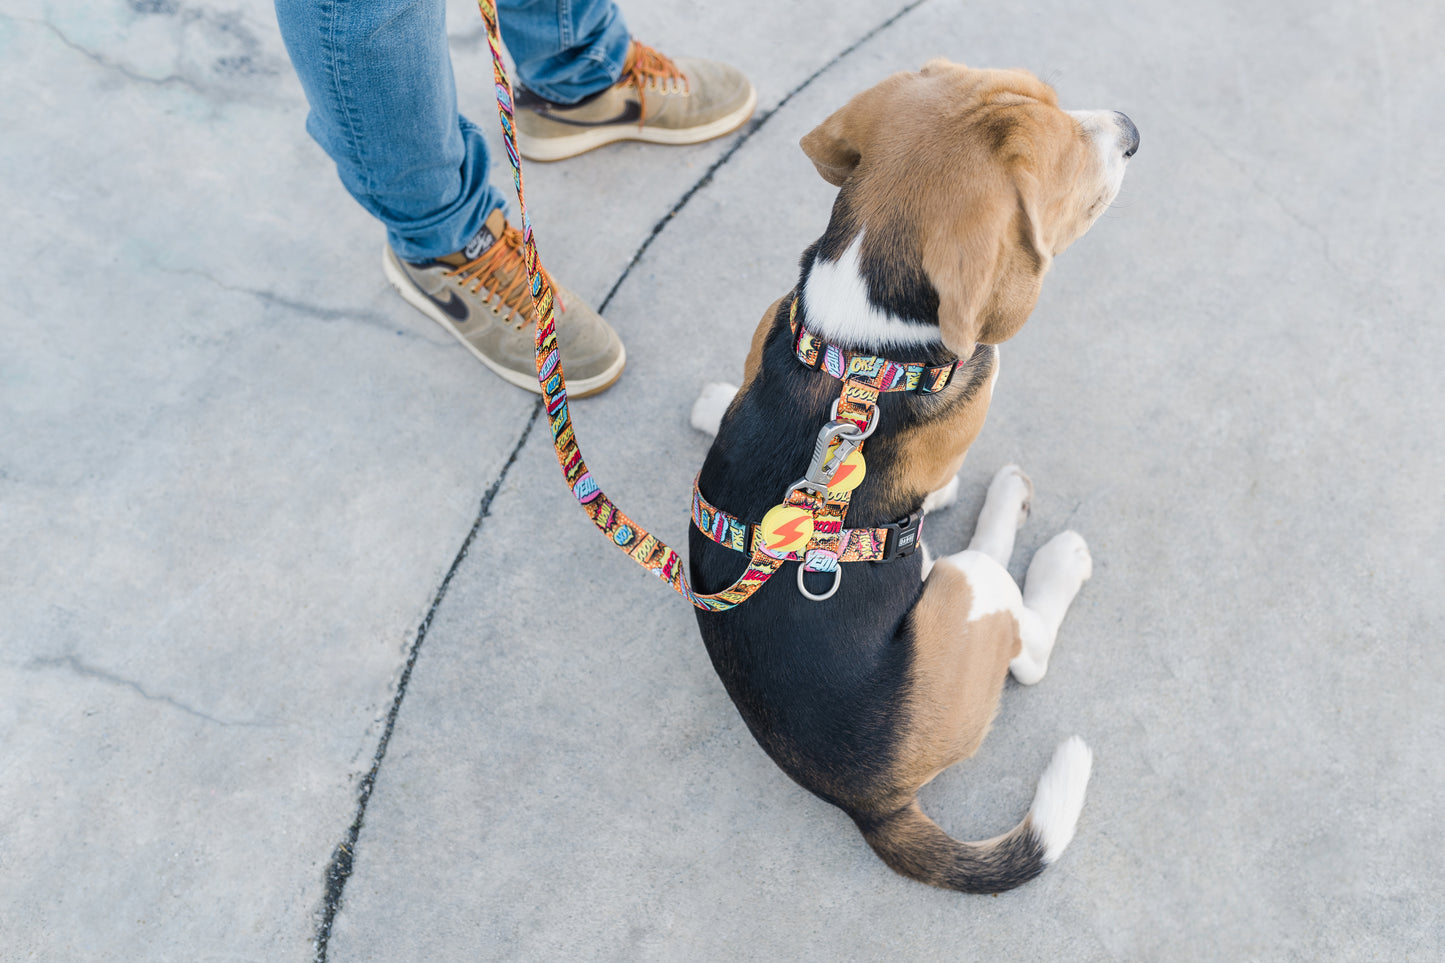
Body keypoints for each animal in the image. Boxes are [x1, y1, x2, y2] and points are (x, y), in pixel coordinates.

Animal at [682, 60, 1132, 890]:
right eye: (1061, 163)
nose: (1130, 130)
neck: (861, 341)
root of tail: (867, 795)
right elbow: (946, 479)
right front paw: (955, 496)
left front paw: (710, 404)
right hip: (967, 595)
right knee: (1021, 641)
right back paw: (1037, 542)